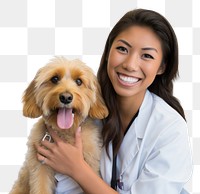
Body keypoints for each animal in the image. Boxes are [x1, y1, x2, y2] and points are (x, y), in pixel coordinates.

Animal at [9, 56, 108, 193]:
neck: (65, 132)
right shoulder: (40, 165)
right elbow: (41, 187)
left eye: (79, 81)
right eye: (54, 79)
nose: (66, 97)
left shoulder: (90, 162)